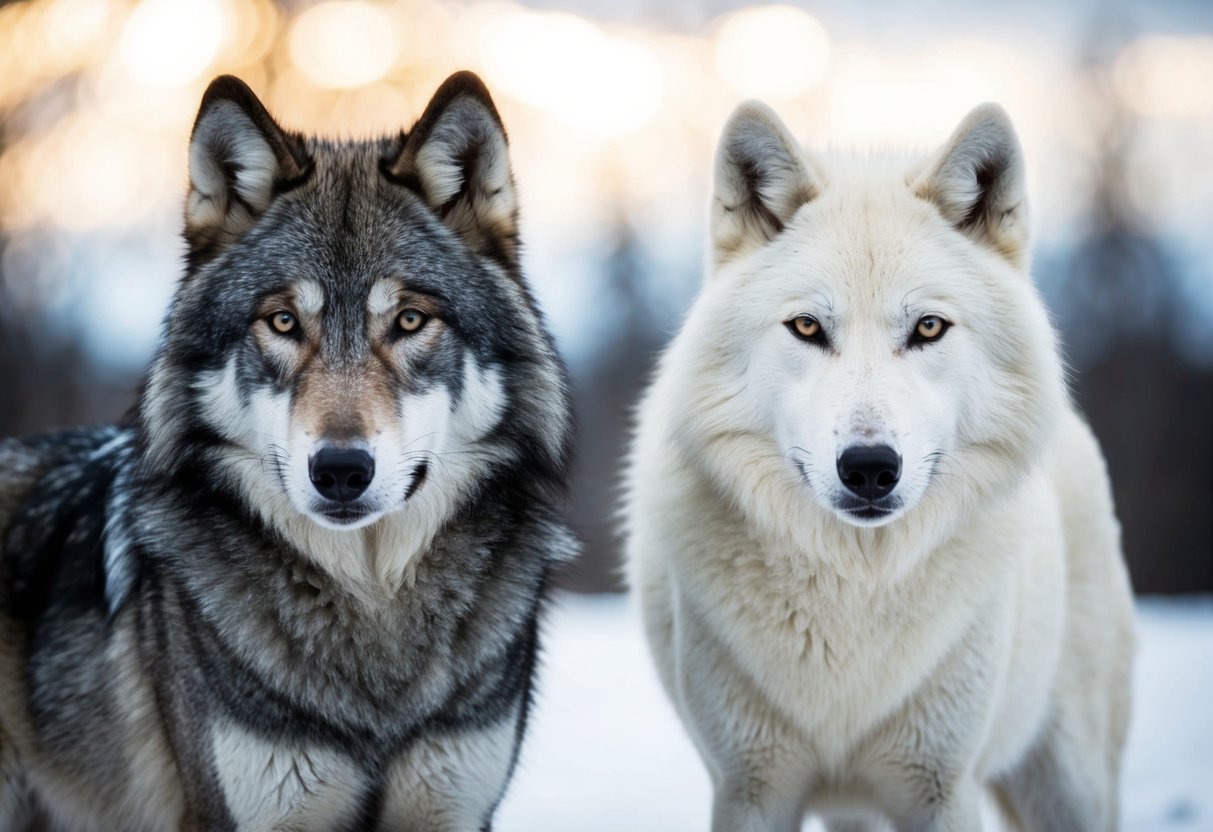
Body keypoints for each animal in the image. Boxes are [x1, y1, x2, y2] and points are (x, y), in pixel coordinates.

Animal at [625, 101, 1136, 831]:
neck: (854, 589)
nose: (869, 467)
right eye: (807, 327)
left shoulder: (943, 789)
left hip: (1070, 782)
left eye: (927, 328)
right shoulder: (749, 788)